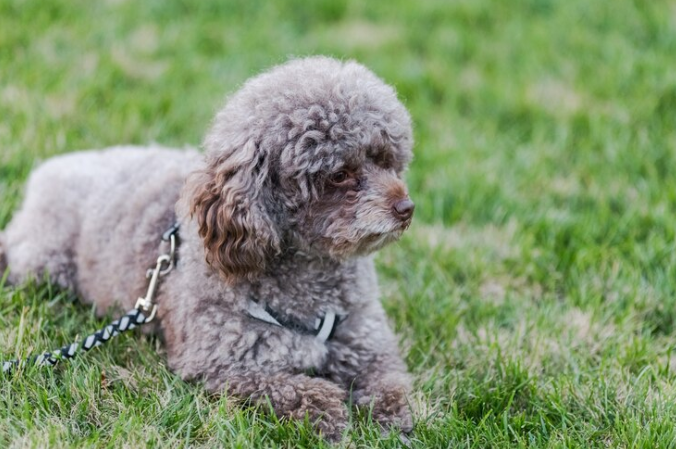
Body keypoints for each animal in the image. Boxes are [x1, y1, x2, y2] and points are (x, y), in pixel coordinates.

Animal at [0, 55, 414, 438]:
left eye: (386, 161)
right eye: (340, 175)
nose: (406, 208)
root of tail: (50, 169)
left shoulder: (365, 341)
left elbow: (387, 378)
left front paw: (394, 411)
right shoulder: (221, 363)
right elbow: (284, 387)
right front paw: (326, 408)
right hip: (43, 261)